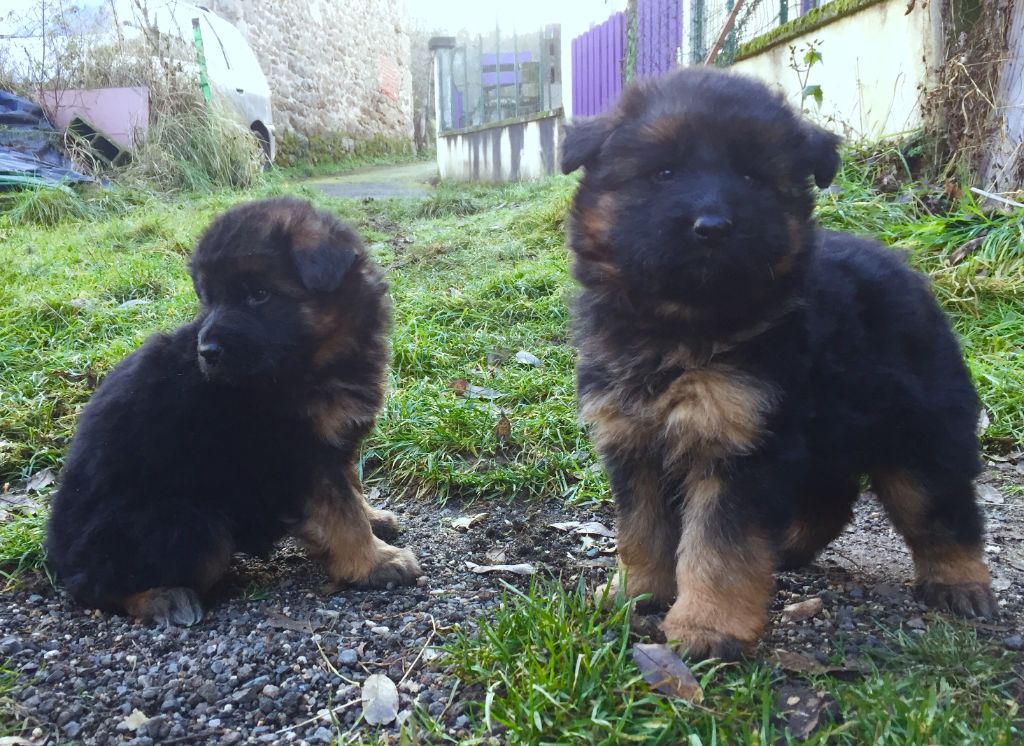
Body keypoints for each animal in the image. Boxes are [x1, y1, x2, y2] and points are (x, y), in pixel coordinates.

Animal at [44, 196, 419, 622]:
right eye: (209, 299)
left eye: (259, 294)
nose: (207, 352)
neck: (315, 361)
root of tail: (59, 557)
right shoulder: (300, 456)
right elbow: (341, 513)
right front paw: (376, 562)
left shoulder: (332, 442)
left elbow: (351, 490)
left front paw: (373, 520)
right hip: (194, 526)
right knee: (96, 588)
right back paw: (163, 597)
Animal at [565, 68, 995, 659]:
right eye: (664, 172)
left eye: (751, 175)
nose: (712, 226)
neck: (683, 331)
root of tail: (907, 272)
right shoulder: (634, 441)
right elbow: (642, 529)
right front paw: (638, 593)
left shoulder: (739, 444)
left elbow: (719, 549)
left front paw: (707, 627)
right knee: (833, 499)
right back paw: (786, 548)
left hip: (920, 435)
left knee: (942, 509)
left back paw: (960, 582)